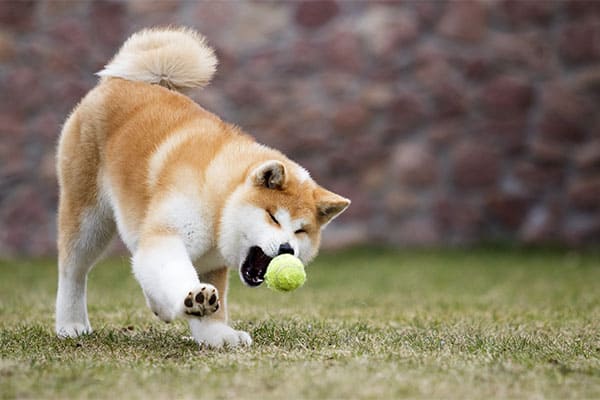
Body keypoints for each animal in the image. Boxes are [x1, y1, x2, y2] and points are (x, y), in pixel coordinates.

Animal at [55, 27, 352, 346]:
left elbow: (210, 309)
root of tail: (117, 81)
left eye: (301, 231)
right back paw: (71, 324)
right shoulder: (168, 235)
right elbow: (174, 273)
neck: (218, 198)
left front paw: (217, 334)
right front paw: (195, 298)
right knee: (73, 271)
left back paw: (159, 307)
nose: (287, 249)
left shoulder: (211, 263)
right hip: (88, 220)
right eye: (273, 217)